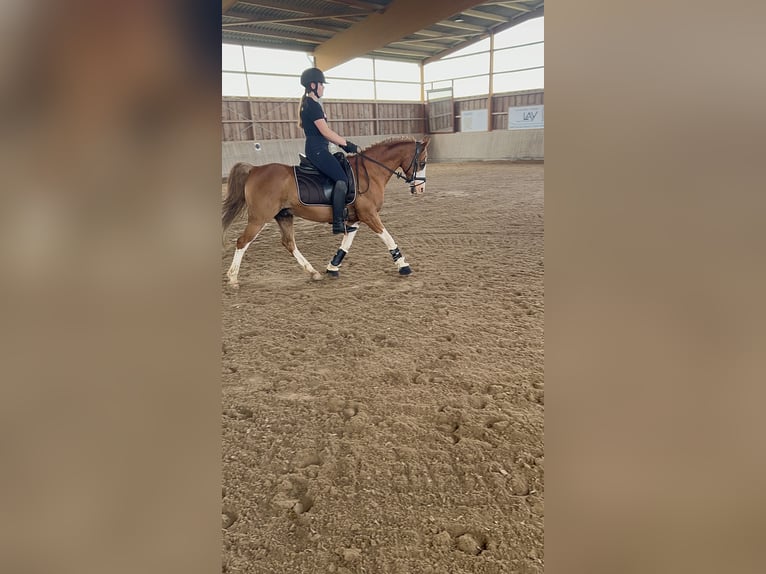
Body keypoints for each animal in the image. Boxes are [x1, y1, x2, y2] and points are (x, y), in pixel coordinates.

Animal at [222, 138, 428, 290]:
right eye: (422, 162)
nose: (420, 189)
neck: (370, 172)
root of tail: (255, 169)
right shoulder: (369, 215)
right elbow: (388, 238)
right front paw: (403, 266)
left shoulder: (355, 218)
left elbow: (346, 244)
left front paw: (333, 267)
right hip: (260, 218)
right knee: (242, 242)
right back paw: (232, 279)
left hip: (284, 215)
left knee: (289, 243)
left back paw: (313, 272)